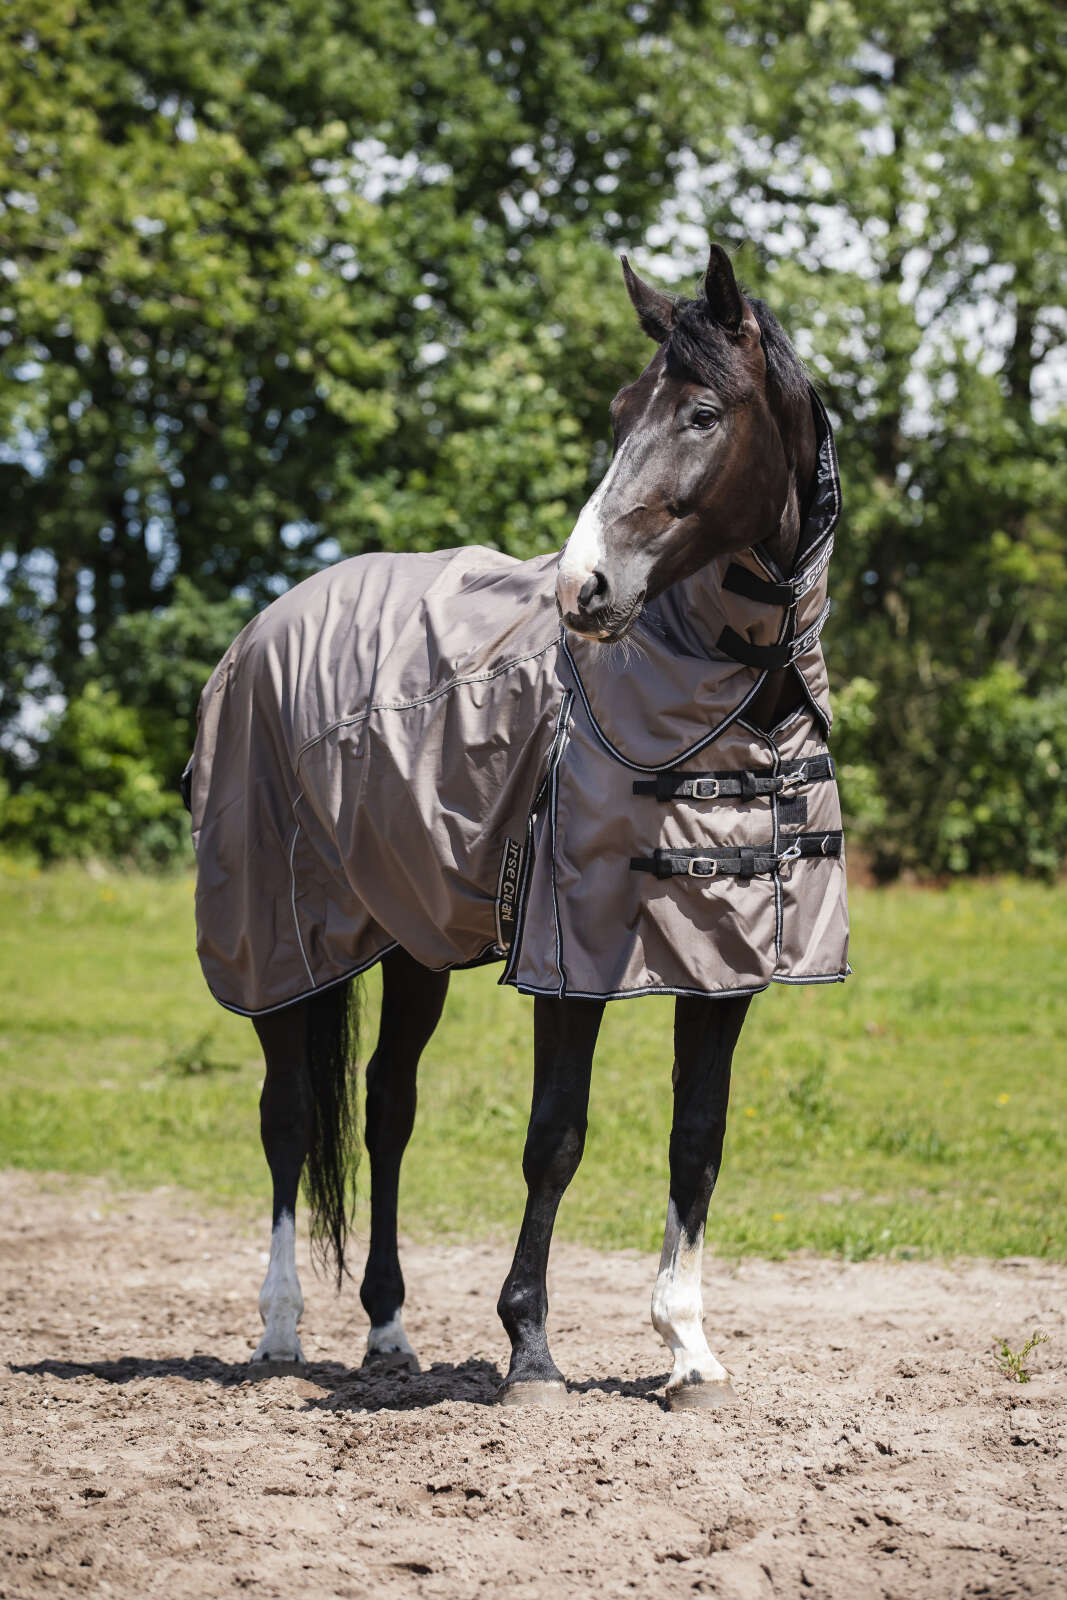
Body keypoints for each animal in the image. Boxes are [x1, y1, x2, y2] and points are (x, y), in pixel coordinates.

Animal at [184, 242, 848, 1410]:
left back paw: (388, 1332)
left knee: (387, 1107)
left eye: (700, 413)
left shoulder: (724, 965)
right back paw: (279, 1330)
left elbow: (696, 1140)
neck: (734, 699)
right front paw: (530, 1348)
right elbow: (556, 1138)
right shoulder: (566, 957)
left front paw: (686, 1348)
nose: (584, 588)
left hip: (408, 941)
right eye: (622, 408)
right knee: (289, 1115)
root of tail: (268, 621)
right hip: (275, 948)